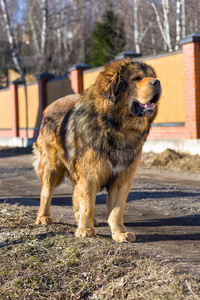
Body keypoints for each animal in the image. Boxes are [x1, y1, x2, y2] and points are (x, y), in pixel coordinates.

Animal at [32, 59, 161, 243]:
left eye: (151, 76)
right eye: (136, 78)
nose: (157, 82)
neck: (118, 128)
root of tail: (49, 106)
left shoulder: (122, 179)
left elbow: (116, 210)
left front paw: (120, 232)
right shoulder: (90, 175)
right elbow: (88, 204)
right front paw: (86, 229)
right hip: (52, 166)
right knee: (46, 192)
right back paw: (43, 217)